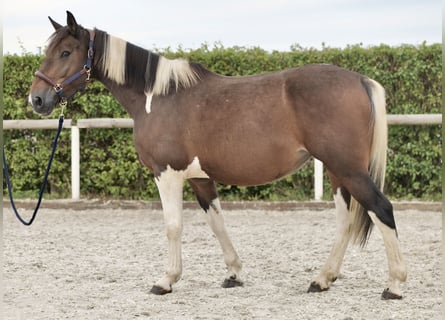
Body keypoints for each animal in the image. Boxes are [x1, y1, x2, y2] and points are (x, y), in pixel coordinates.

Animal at [28, 11, 406, 298]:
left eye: (66, 52)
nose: (37, 99)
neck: (158, 97)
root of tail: (360, 80)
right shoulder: (200, 178)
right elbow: (217, 222)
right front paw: (234, 274)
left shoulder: (166, 173)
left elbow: (173, 226)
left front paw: (166, 280)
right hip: (337, 170)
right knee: (345, 220)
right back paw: (322, 279)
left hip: (348, 169)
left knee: (381, 209)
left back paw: (395, 285)